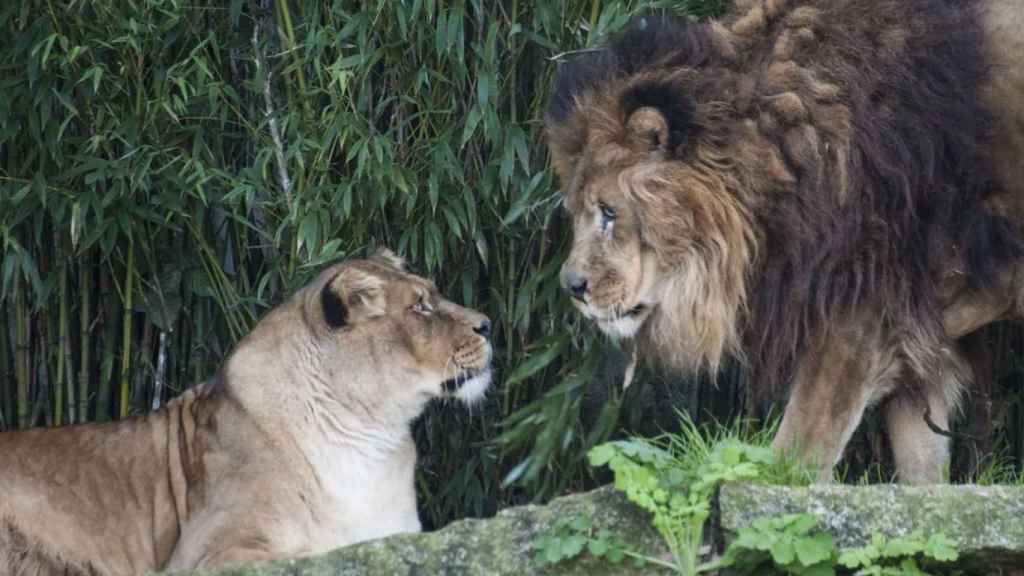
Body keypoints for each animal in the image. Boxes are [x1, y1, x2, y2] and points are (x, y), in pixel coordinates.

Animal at [0, 249, 493, 574]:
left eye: (432, 295)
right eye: (420, 305)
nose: (488, 324)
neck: (369, 433)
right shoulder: (205, 554)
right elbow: (313, 553)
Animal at [546, 0, 1024, 483]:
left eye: (609, 212)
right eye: (576, 211)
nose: (572, 288)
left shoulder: (867, 311)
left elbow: (798, 452)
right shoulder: (919, 339)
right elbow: (921, 466)